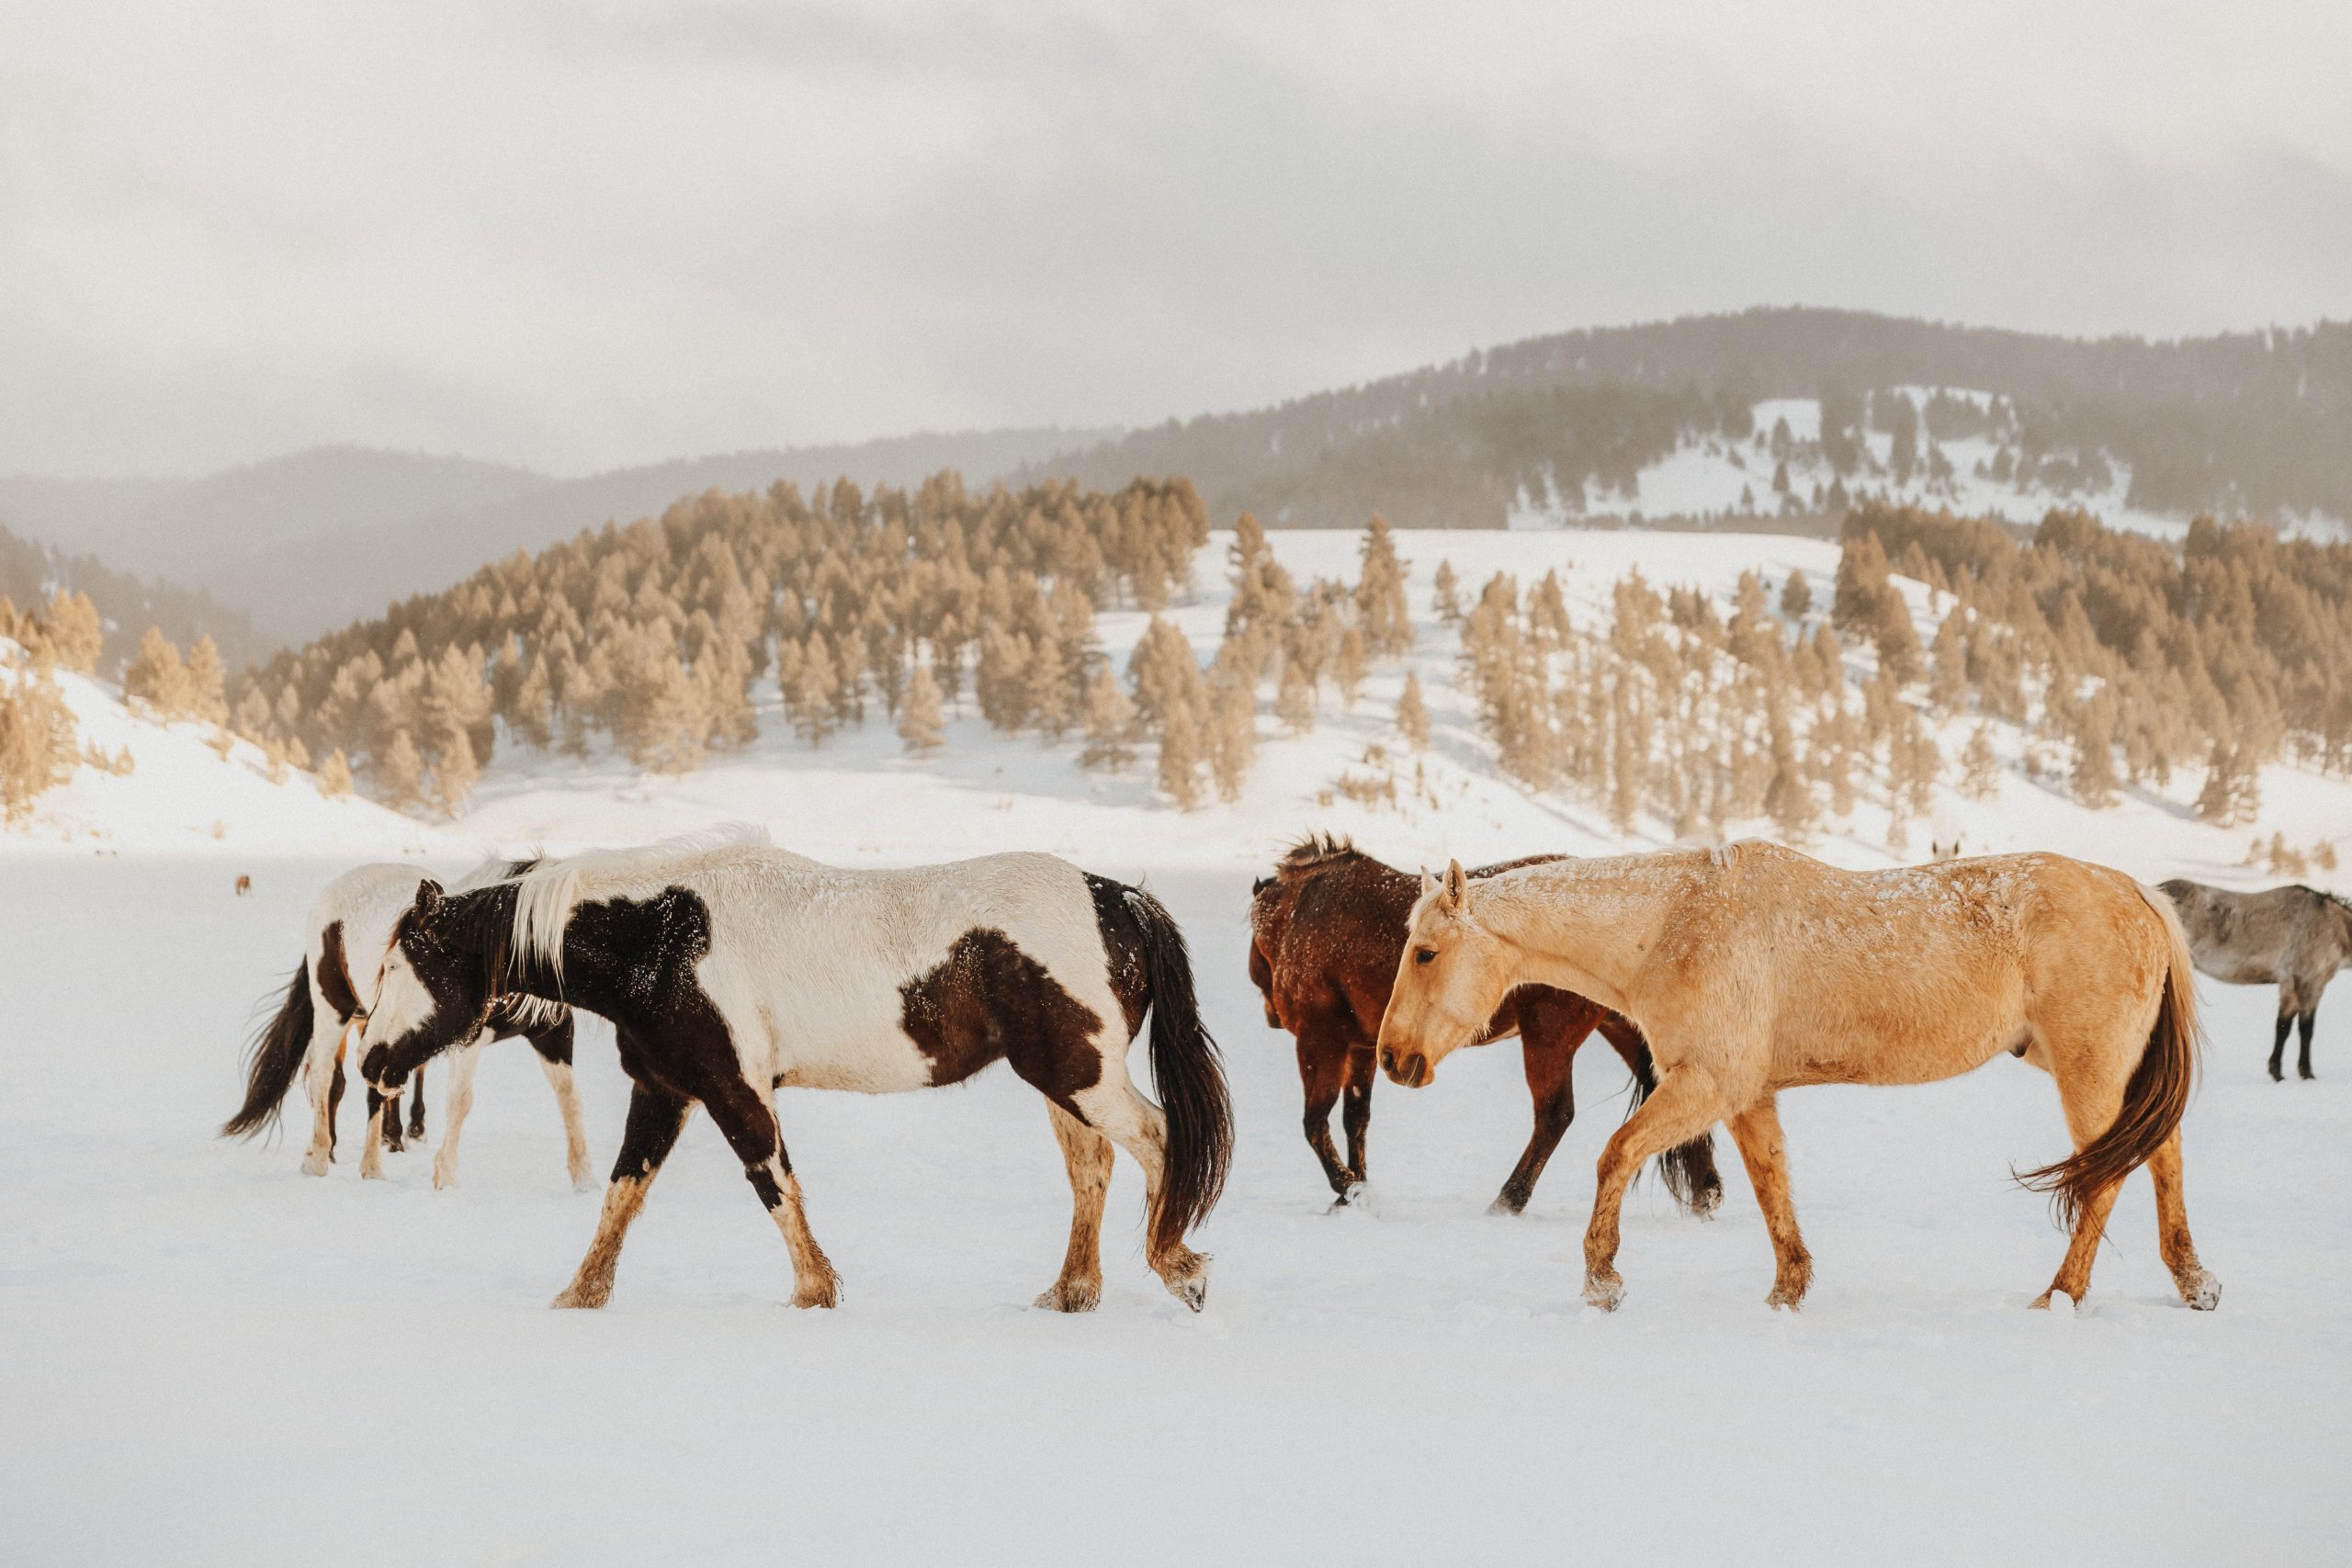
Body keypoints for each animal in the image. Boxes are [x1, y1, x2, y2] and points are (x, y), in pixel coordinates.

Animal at [221, 858, 592, 1190]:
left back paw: (372, 1166)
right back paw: (321, 1158)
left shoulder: (553, 1034)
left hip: (372, 1029)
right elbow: (460, 1101)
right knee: (326, 1077)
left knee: (371, 1090)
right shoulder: (465, 1038)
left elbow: (570, 1098)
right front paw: (446, 1180)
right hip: (333, 1010)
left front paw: (585, 1181)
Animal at [353, 826, 1233, 1314]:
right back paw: (1071, 1293)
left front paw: (814, 1291)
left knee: (1159, 1141)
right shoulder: (665, 1089)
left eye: (398, 964)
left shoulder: (731, 1088)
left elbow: (773, 1182)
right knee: (1094, 1168)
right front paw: (579, 1295)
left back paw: (1179, 1268)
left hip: (1081, 1075)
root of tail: (1119, 898)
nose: (371, 1061)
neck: (661, 937)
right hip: (1061, 1080)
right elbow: (621, 1195)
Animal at [1248, 834, 1721, 1215]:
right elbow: (1355, 1121)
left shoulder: (1321, 1039)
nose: (1270, 1014)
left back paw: (1509, 1199)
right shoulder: (1364, 1046)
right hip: (1621, 1028)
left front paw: (1348, 1189)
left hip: (1548, 1035)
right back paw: (1706, 1192)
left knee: (1554, 1115)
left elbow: (1315, 1122)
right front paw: (1358, 1189)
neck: (1304, 913)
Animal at [1376, 843, 2218, 1314]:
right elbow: (1771, 1184)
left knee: (2109, 1177)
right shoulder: (1747, 1094)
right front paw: (1788, 1290)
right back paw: (2193, 1282)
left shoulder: (1708, 1084)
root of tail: (2137, 892)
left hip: (2088, 1071)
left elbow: (1615, 1154)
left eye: (1424, 952)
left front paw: (1603, 1279)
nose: (1392, 1057)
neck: (1674, 923)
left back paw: (2062, 1295)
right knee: (2162, 1157)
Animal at [2159, 879, 2352, 1082]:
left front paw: (2277, 1073)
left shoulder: (2290, 985)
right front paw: (2306, 1074)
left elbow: (2283, 1027)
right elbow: (2306, 1029)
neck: (2331, 925)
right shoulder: (2309, 983)